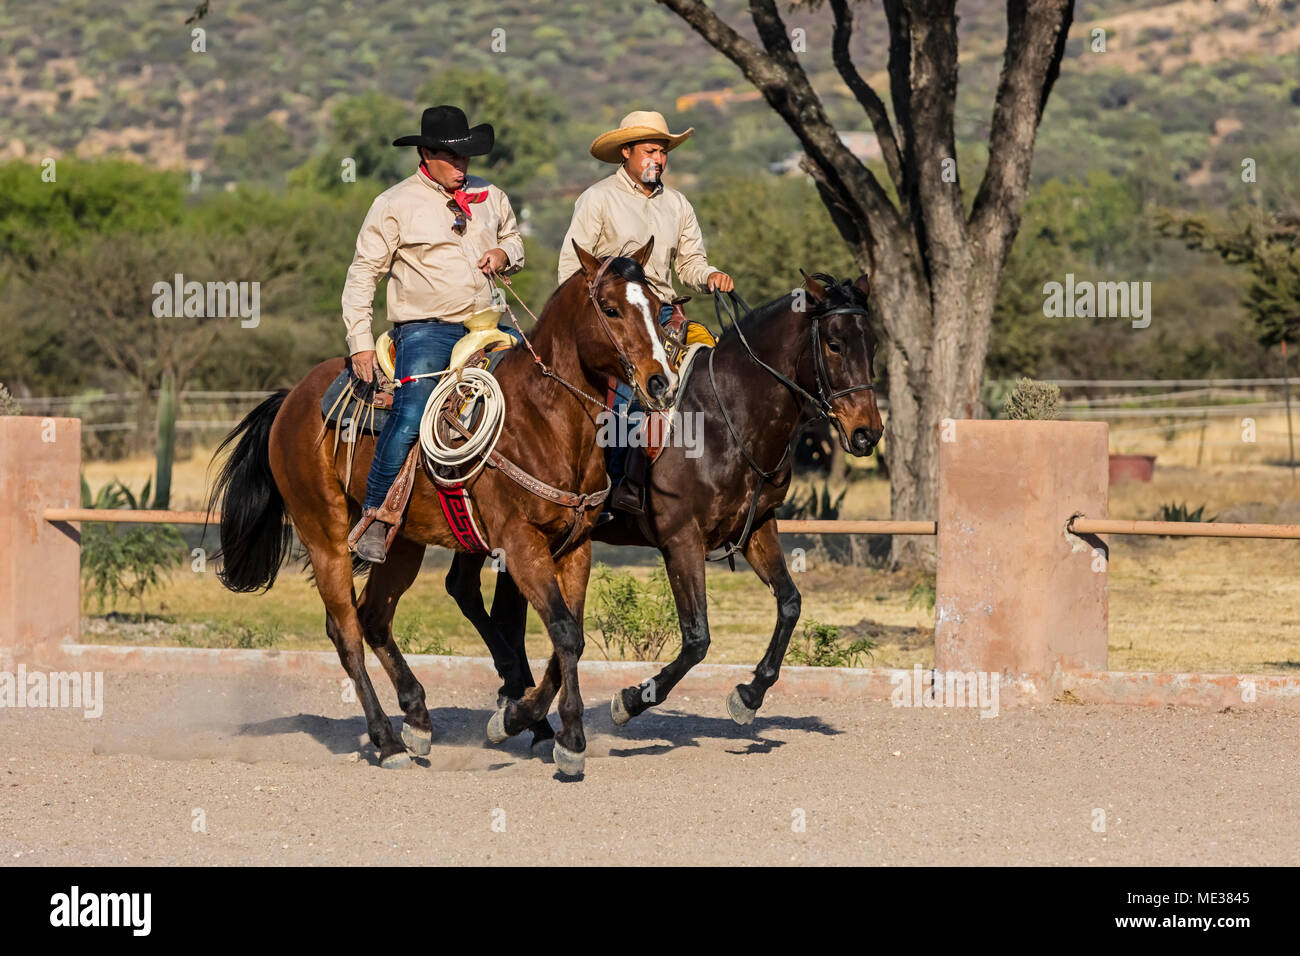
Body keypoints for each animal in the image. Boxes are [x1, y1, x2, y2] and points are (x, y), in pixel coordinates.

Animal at [207, 240, 674, 776]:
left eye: (656, 305)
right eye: (612, 309)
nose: (660, 382)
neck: (542, 419)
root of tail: (292, 398)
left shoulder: (574, 546)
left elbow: (569, 636)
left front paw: (545, 727)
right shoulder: (520, 544)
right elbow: (562, 631)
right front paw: (539, 729)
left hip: (400, 542)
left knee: (374, 617)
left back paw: (417, 718)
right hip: (323, 535)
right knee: (345, 632)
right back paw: (387, 742)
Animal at [454, 272, 883, 746]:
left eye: (873, 345)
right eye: (834, 344)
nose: (867, 433)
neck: (723, 419)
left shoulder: (756, 527)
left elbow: (790, 603)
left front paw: (749, 695)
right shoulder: (681, 540)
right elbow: (697, 639)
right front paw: (630, 700)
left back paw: (523, 709)